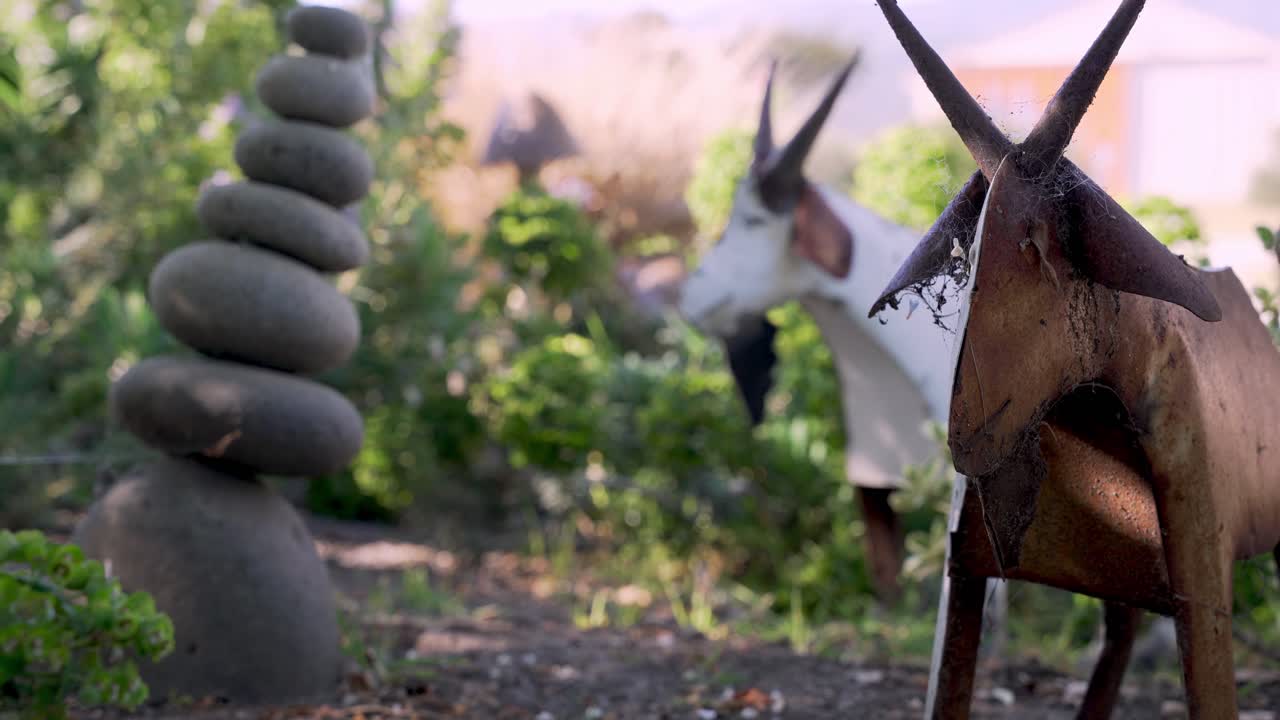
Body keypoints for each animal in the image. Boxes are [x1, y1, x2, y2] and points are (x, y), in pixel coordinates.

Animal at [869, 1, 1280, 717]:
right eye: (967, 242)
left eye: (1036, 245)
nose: (965, 434)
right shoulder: (965, 564)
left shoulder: (1202, 574)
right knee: (1120, 635)